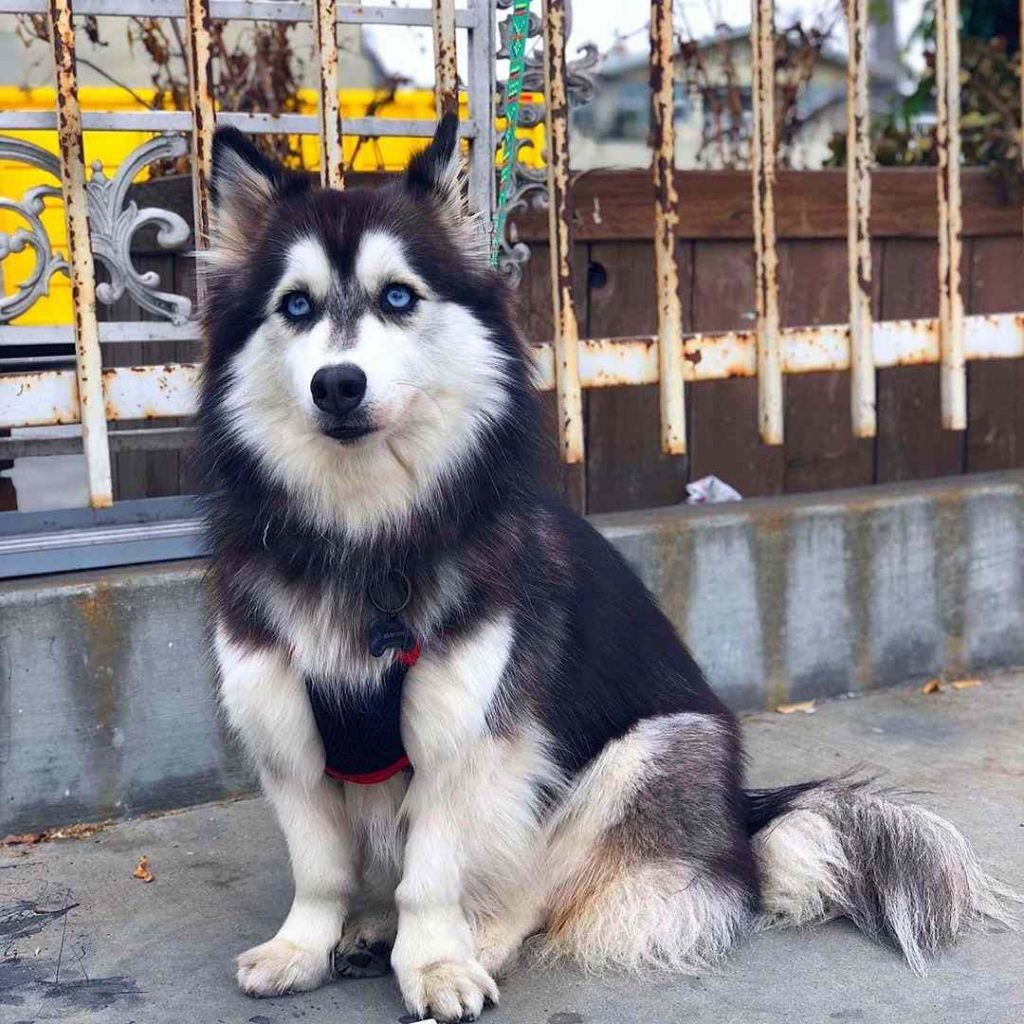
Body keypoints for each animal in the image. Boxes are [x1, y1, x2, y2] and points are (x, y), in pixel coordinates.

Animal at [199, 116, 1015, 1019]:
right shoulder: (284, 729)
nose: (338, 384)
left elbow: (433, 877)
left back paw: (471, 939)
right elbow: (321, 870)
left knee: (533, 891)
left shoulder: (466, 736)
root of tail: (740, 828)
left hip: (649, 750)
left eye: (399, 297)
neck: (366, 537)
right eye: (296, 306)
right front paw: (301, 947)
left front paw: (438, 959)